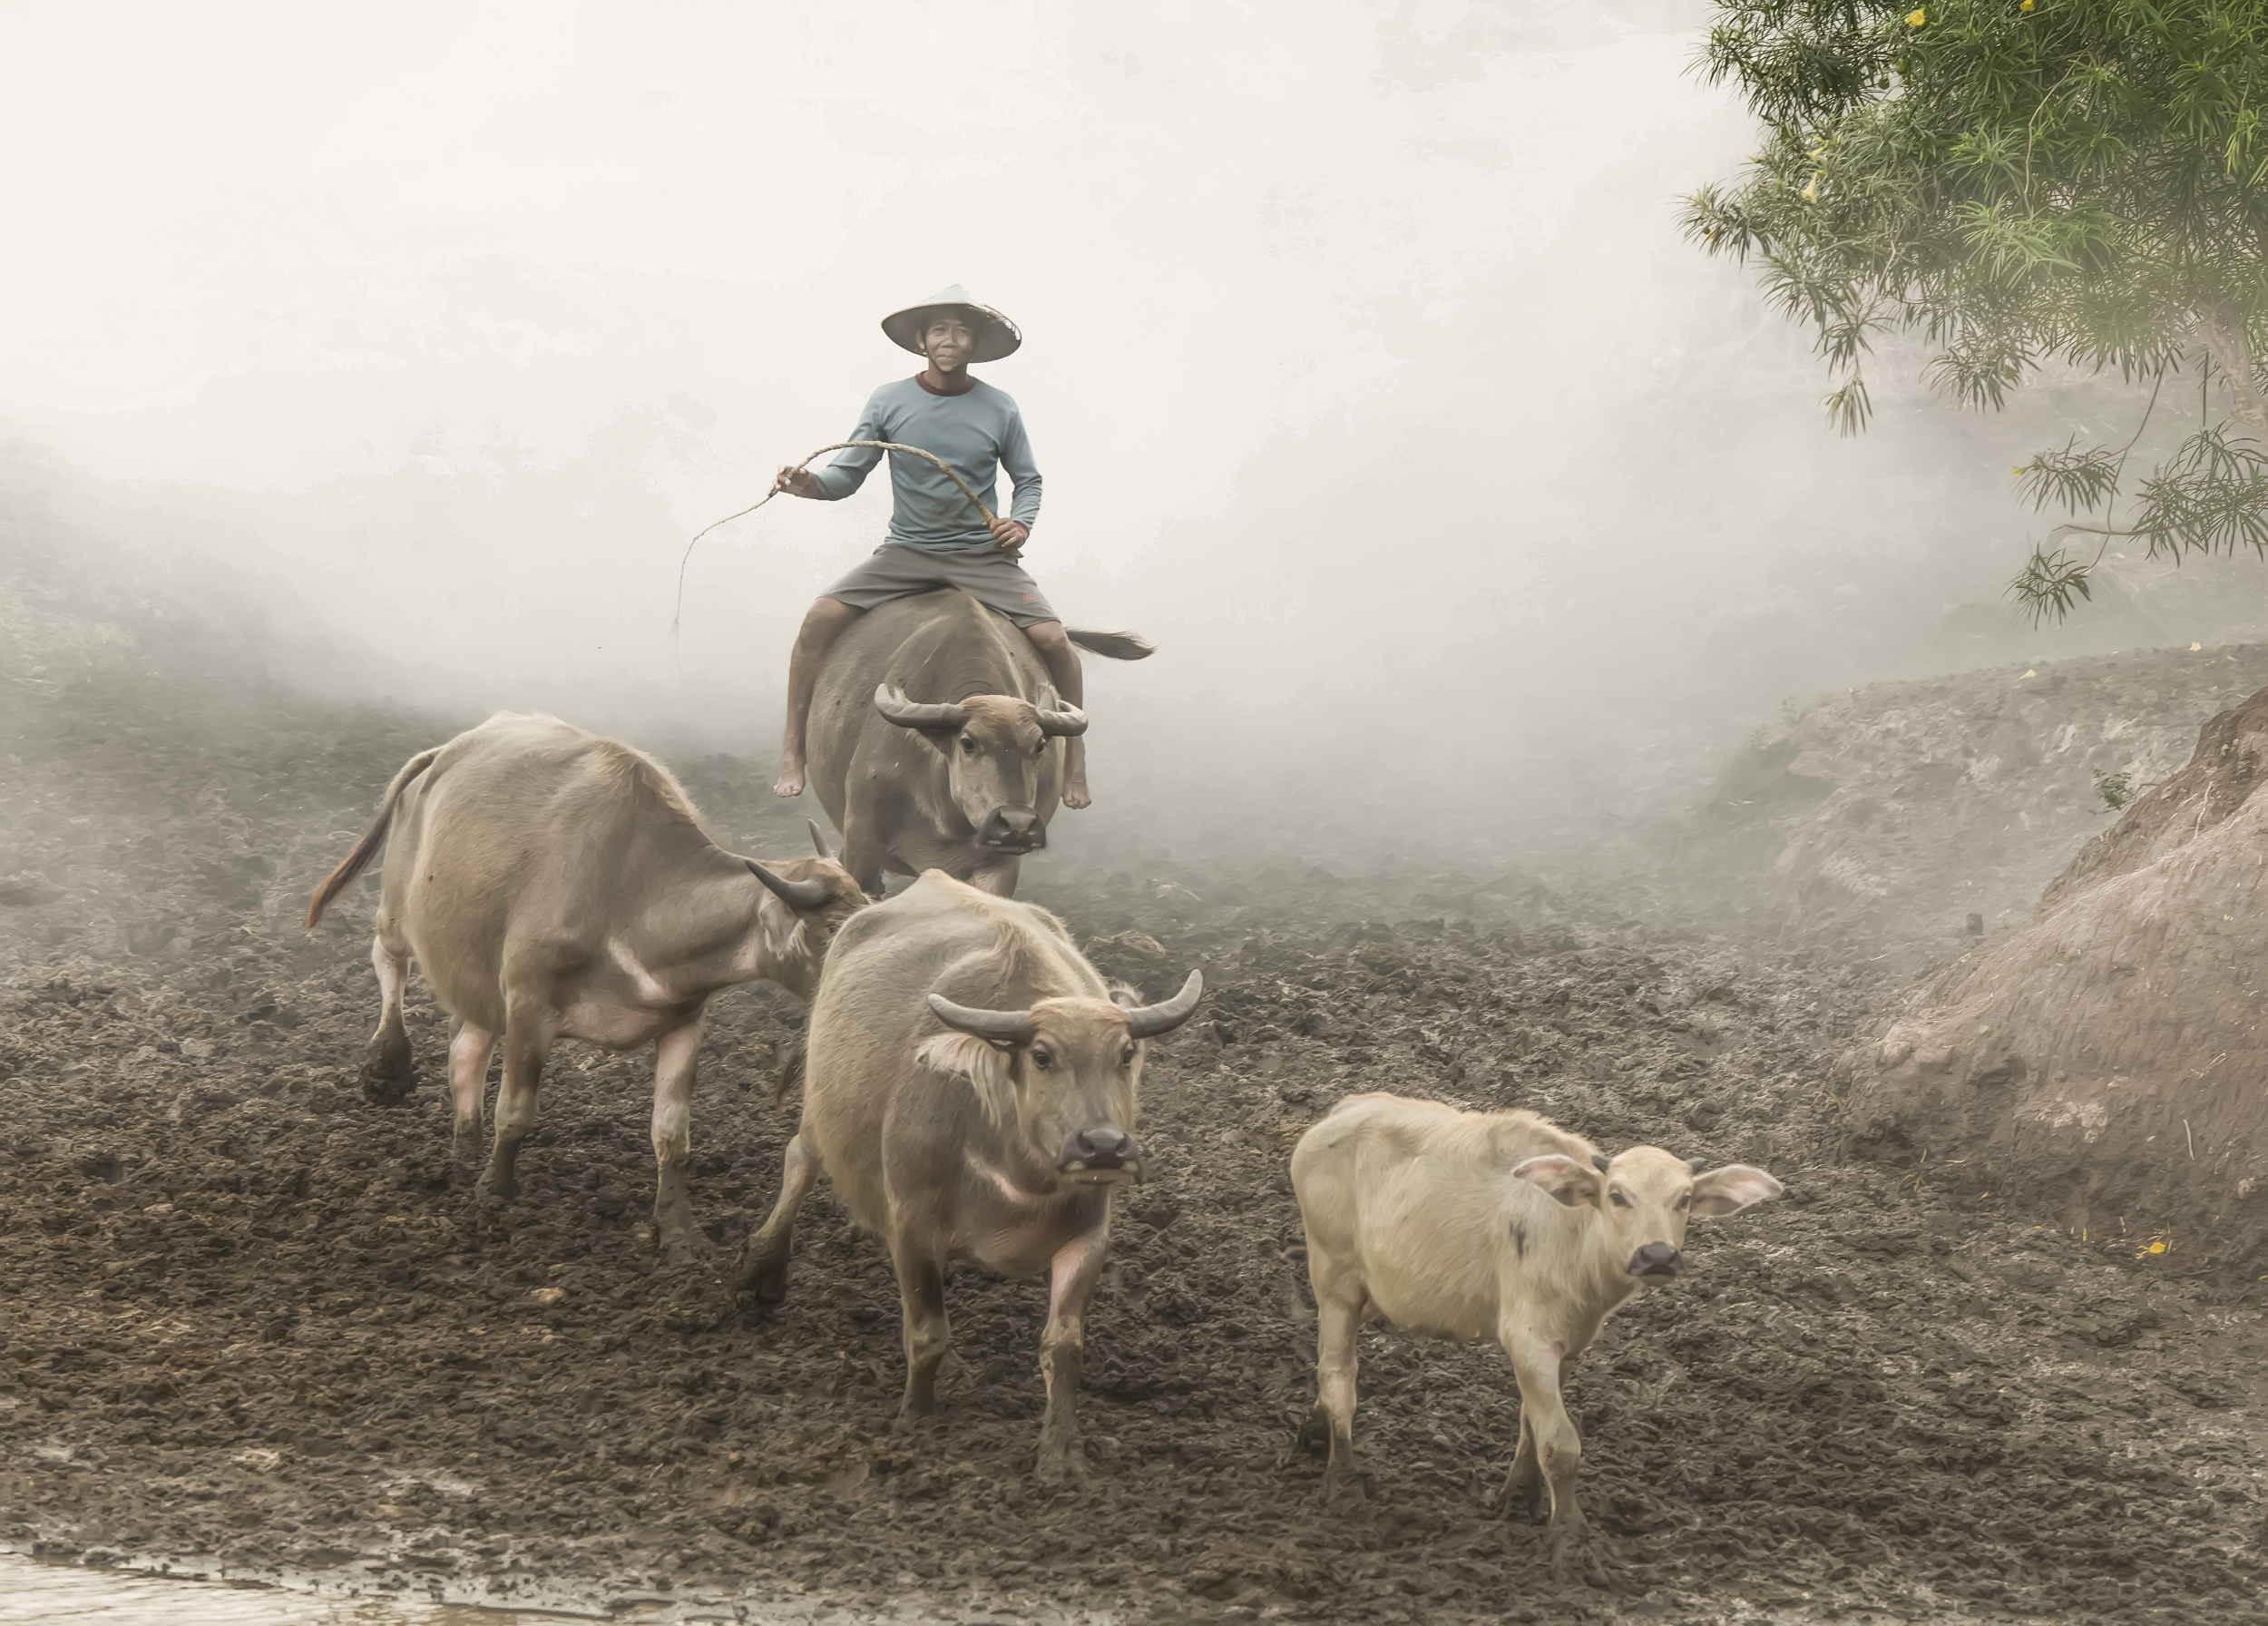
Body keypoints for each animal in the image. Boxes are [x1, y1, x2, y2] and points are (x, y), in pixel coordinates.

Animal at [305, 712, 868, 1265]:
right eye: (831, 930)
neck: (634, 900)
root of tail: (442, 752)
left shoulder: (685, 1022)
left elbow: (672, 1134)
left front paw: (680, 1233)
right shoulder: (528, 1007)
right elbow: (515, 1111)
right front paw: (495, 1192)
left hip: (479, 974)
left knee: (465, 1045)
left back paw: (465, 1150)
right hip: (396, 905)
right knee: (389, 961)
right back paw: (388, 1065)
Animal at [731, 869, 1204, 1479]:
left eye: (1125, 1054)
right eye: (1042, 1057)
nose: (1103, 1146)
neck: (1017, 1174)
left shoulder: (1088, 1237)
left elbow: (1064, 1346)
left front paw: (1060, 1449)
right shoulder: (910, 1228)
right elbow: (928, 1334)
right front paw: (916, 1419)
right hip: (818, 1111)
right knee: (799, 1161)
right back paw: (762, 1265)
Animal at [1289, 1094, 1782, 1578]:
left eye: (1684, 1199)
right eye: (1617, 1196)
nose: (1658, 1255)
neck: (1575, 1238)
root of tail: (1345, 1111)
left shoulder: (1567, 1346)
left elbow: (1531, 1423)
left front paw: (1518, 1499)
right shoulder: (1528, 1340)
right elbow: (1559, 1444)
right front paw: (1570, 1543)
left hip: (1375, 1288)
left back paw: (1314, 1429)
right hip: (1335, 1279)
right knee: (1338, 1373)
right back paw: (1343, 1484)